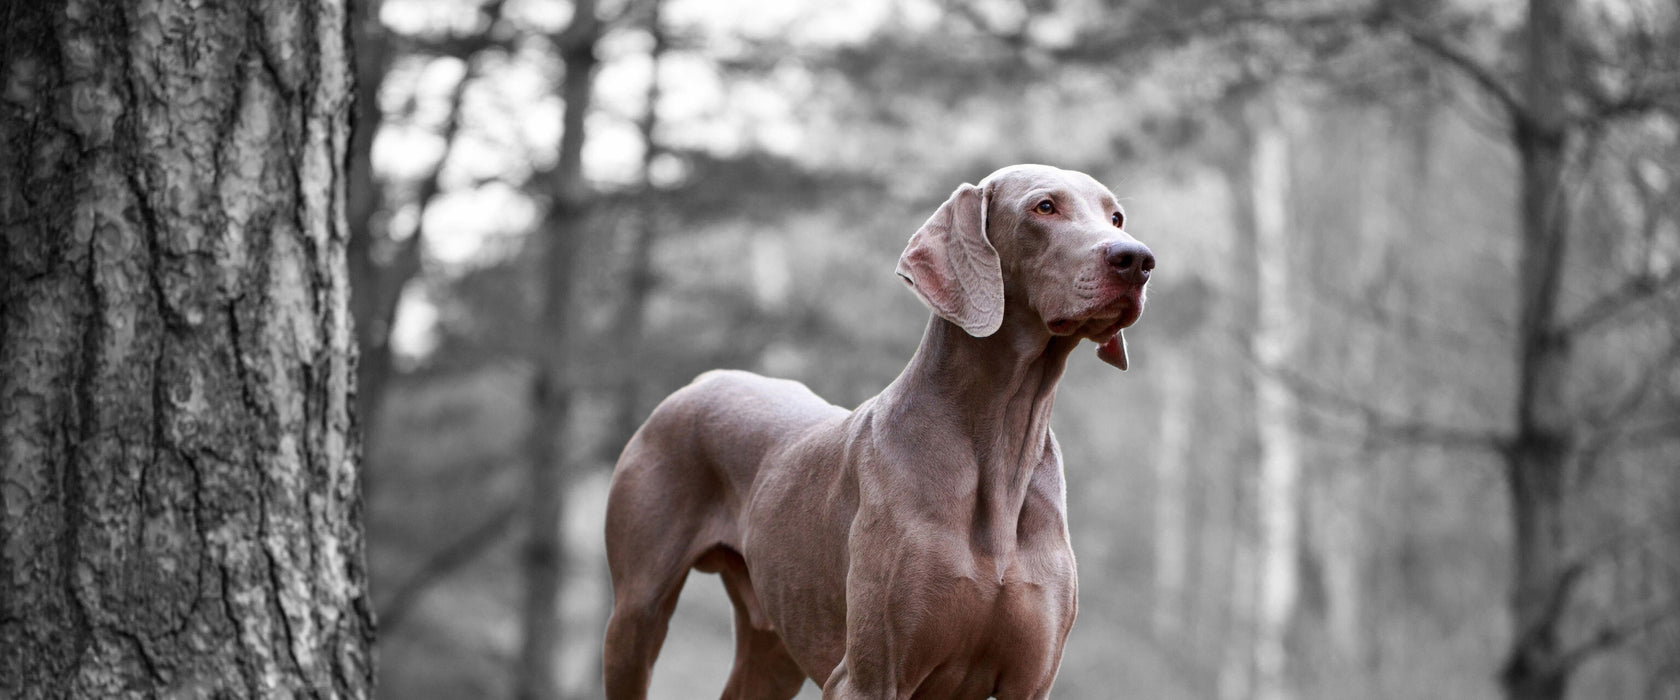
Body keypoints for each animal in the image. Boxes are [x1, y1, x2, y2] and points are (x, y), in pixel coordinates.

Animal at [604, 165, 1155, 698]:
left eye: (1116, 217)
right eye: (1044, 206)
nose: (1138, 260)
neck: (1003, 445)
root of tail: (701, 381)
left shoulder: (1031, 681)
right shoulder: (868, 676)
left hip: (773, 643)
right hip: (635, 618)